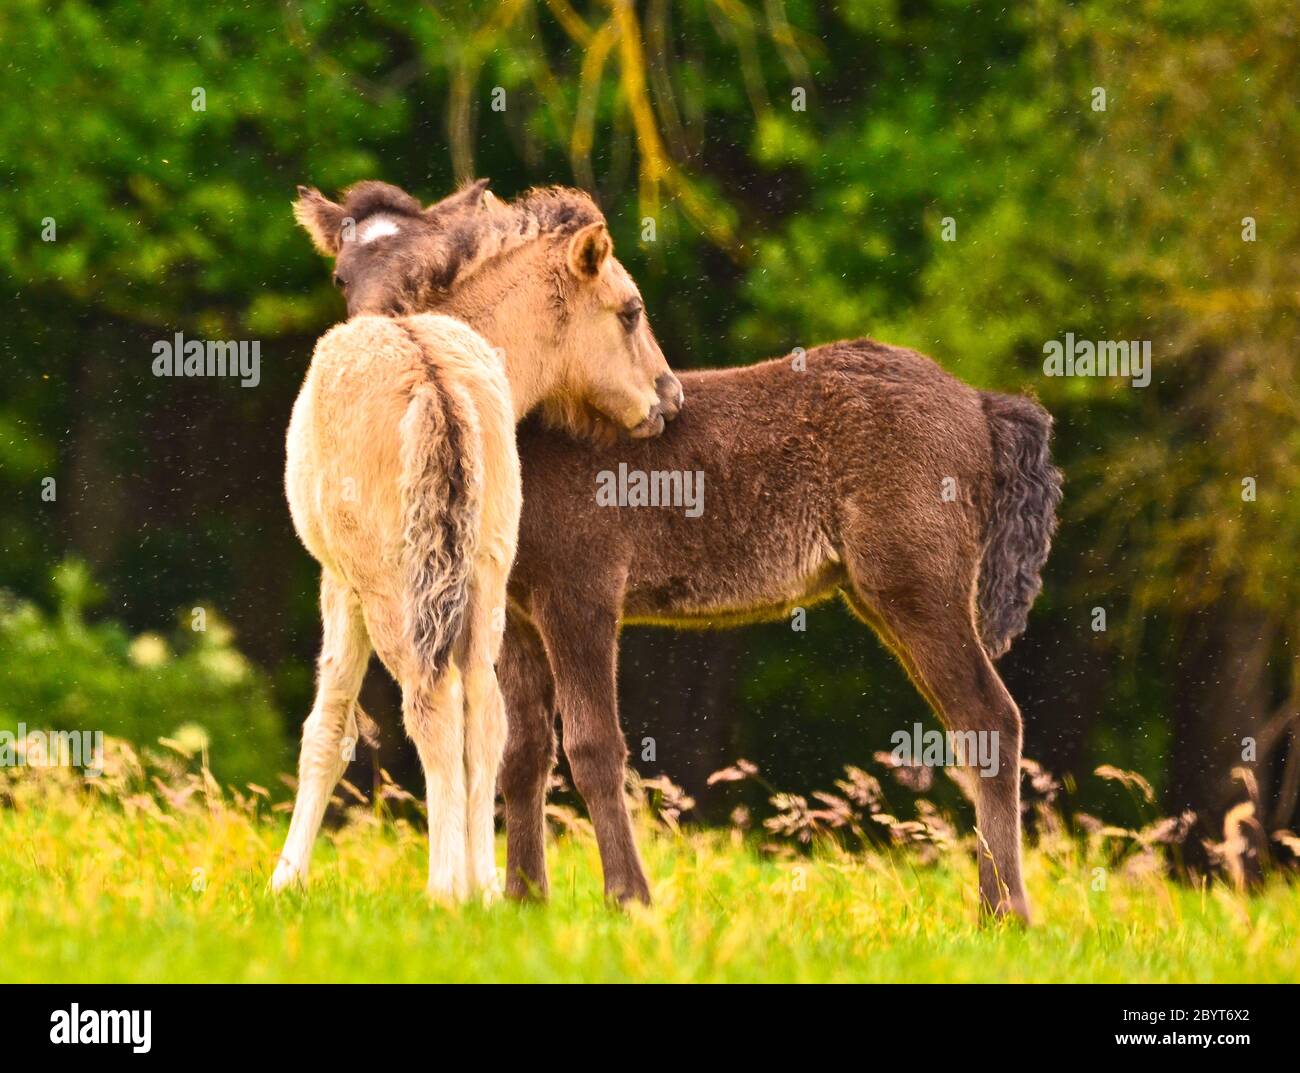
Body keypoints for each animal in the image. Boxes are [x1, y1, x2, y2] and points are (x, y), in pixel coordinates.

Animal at [496, 340, 1055, 920]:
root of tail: (979, 403)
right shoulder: (515, 616)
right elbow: (522, 753)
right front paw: (522, 900)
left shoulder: (580, 594)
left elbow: (593, 746)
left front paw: (628, 899)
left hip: (918, 586)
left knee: (990, 718)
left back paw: (1003, 910)